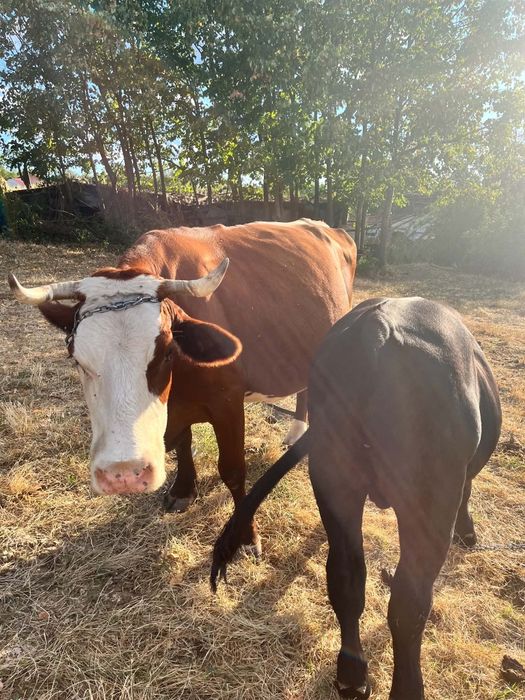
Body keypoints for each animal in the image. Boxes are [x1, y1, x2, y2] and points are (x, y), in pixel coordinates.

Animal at [8, 219, 356, 555]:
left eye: (167, 352)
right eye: (77, 358)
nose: (124, 473)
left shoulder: (228, 401)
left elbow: (232, 469)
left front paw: (245, 536)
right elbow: (183, 444)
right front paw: (183, 489)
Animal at [211, 297, 502, 699]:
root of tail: (375, 330)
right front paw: (468, 530)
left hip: (335, 478)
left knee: (346, 577)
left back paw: (351, 673)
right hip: (426, 503)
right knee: (409, 603)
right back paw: (405, 688)